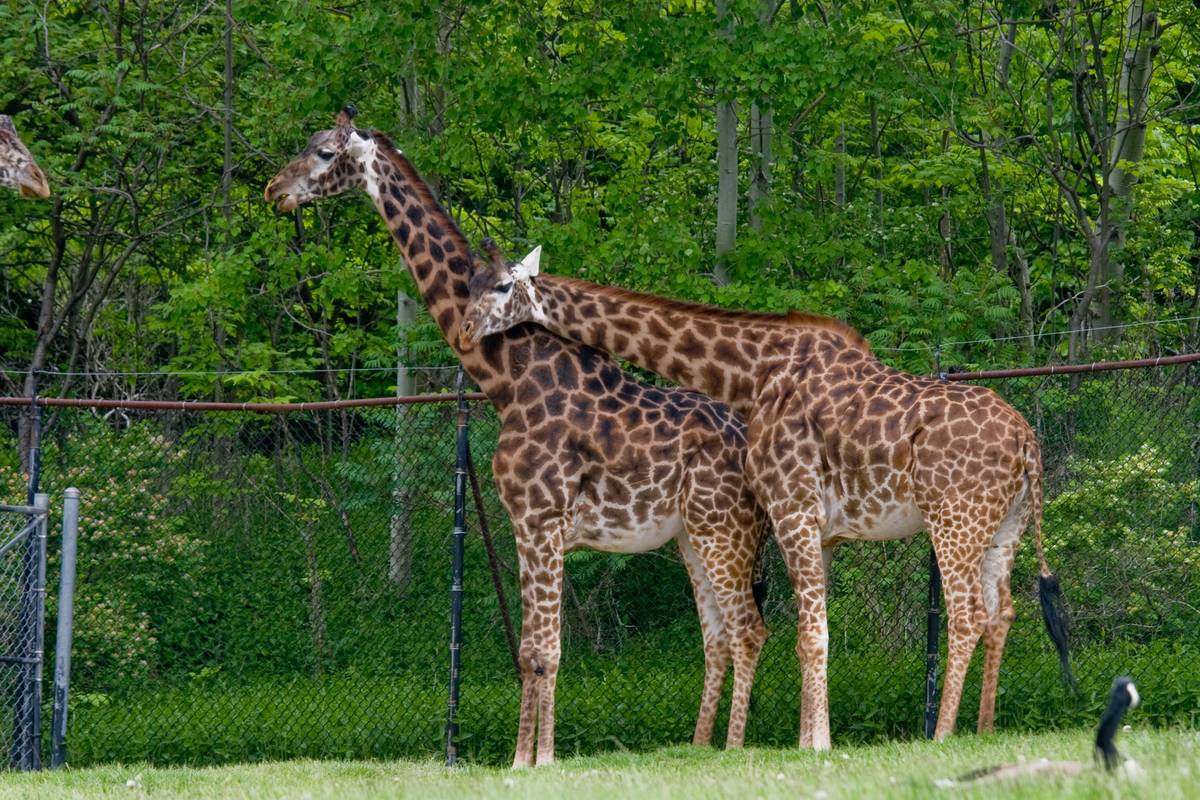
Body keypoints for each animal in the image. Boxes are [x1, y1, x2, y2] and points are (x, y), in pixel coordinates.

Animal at [263, 107, 770, 766]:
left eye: (325, 152)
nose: (274, 190)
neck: (508, 378)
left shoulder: (544, 519)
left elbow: (547, 652)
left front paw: (544, 759)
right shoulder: (522, 524)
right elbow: (529, 652)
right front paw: (519, 758)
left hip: (723, 527)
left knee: (749, 630)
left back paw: (732, 751)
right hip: (691, 534)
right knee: (718, 638)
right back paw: (697, 749)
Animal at [458, 249, 1076, 749]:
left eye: (501, 287)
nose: (464, 331)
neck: (752, 374)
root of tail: (1027, 441)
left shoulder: (792, 506)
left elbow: (807, 633)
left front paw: (815, 746)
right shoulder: (821, 528)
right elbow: (810, 633)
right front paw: (812, 739)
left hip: (954, 519)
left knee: (967, 614)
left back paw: (944, 734)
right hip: (1003, 527)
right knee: (1002, 612)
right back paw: (984, 730)